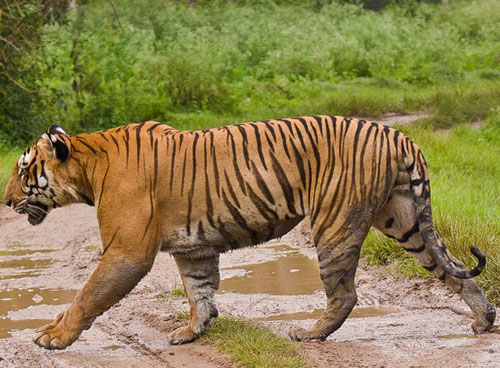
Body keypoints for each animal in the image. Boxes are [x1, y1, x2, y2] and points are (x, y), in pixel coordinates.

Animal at [2, 116, 496, 350]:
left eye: (23, 170)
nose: (5, 201)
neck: (88, 166)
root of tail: (397, 134)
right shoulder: (193, 248)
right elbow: (200, 291)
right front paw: (193, 331)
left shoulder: (127, 250)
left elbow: (87, 296)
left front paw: (53, 337)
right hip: (404, 220)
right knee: (453, 269)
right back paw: (483, 318)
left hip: (335, 223)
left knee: (345, 293)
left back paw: (310, 334)